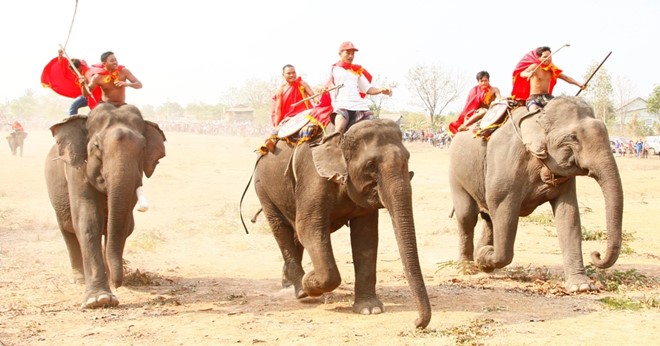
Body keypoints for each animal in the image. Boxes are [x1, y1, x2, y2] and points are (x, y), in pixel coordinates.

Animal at [44, 103, 166, 308]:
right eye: (96, 146)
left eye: (143, 148)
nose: (118, 284)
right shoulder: (77, 170)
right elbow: (88, 220)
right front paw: (99, 300)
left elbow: (122, 225)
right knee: (67, 228)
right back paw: (79, 279)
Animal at [253, 119, 434, 330]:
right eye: (371, 166)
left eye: (407, 160)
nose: (416, 322)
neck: (342, 137)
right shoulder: (313, 178)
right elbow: (309, 228)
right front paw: (310, 280)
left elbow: (366, 237)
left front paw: (370, 309)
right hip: (263, 188)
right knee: (281, 229)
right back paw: (300, 290)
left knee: (294, 235)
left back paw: (288, 284)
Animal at [448, 95, 624, 292]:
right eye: (573, 138)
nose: (596, 253)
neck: (538, 116)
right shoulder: (507, 163)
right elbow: (502, 209)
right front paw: (487, 254)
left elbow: (568, 216)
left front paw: (581, 287)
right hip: (456, 173)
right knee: (467, 216)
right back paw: (467, 267)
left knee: (488, 217)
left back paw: (482, 262)